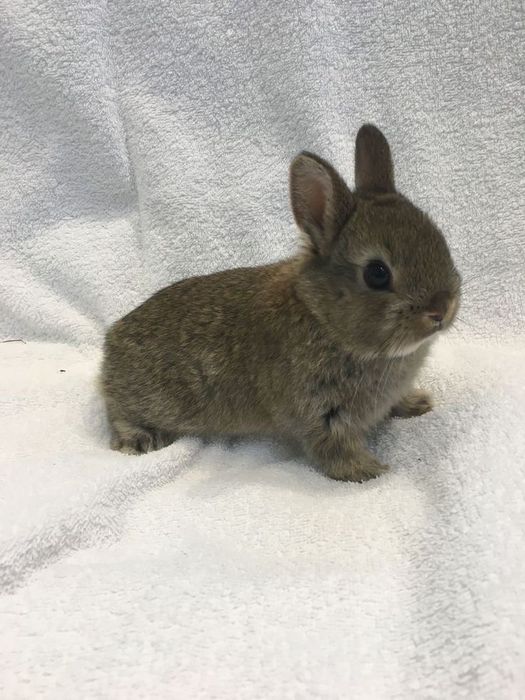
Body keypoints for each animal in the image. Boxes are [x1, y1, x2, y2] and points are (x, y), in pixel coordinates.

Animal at [101, 124, 461, 481]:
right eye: (377, 273)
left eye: (440, 239)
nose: (442, 309)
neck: (323, 319)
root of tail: (112, 342)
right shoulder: (321, 412)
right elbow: (333, 449)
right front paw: (371, 471)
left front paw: (416, 404)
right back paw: (138, 439)